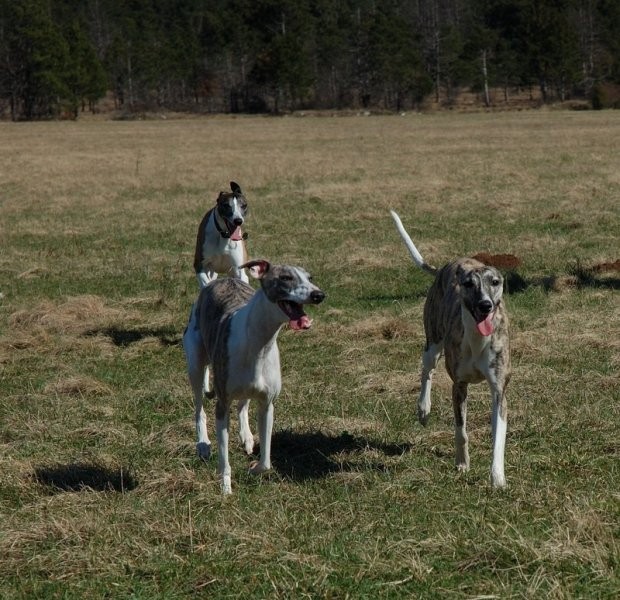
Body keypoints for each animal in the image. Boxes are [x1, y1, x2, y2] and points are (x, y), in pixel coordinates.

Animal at [182, 260, 324, 494]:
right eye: (285, 278)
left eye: (310, 278)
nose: (319, 295)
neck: (259, 342)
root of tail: (220, 280)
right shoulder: (222, 405)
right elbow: (224, 460)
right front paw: (225, 488)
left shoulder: (267, 405)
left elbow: (266, 462)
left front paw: (253, 468)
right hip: (195, 363)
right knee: (199, 407)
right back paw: (203, 444)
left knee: (243, 404)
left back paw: (246, 436)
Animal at [390, 211, 512, 488]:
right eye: (468, 284)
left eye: (495, 282)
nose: (485, 305)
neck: (478, 338)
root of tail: (447, 265)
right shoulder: (459, 385)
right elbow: (461, 431)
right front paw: (462, 463)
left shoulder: (499, 390)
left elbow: (498, 438)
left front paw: (497, 478)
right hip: (433, 342)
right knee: (427, 370)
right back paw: (423, 408)